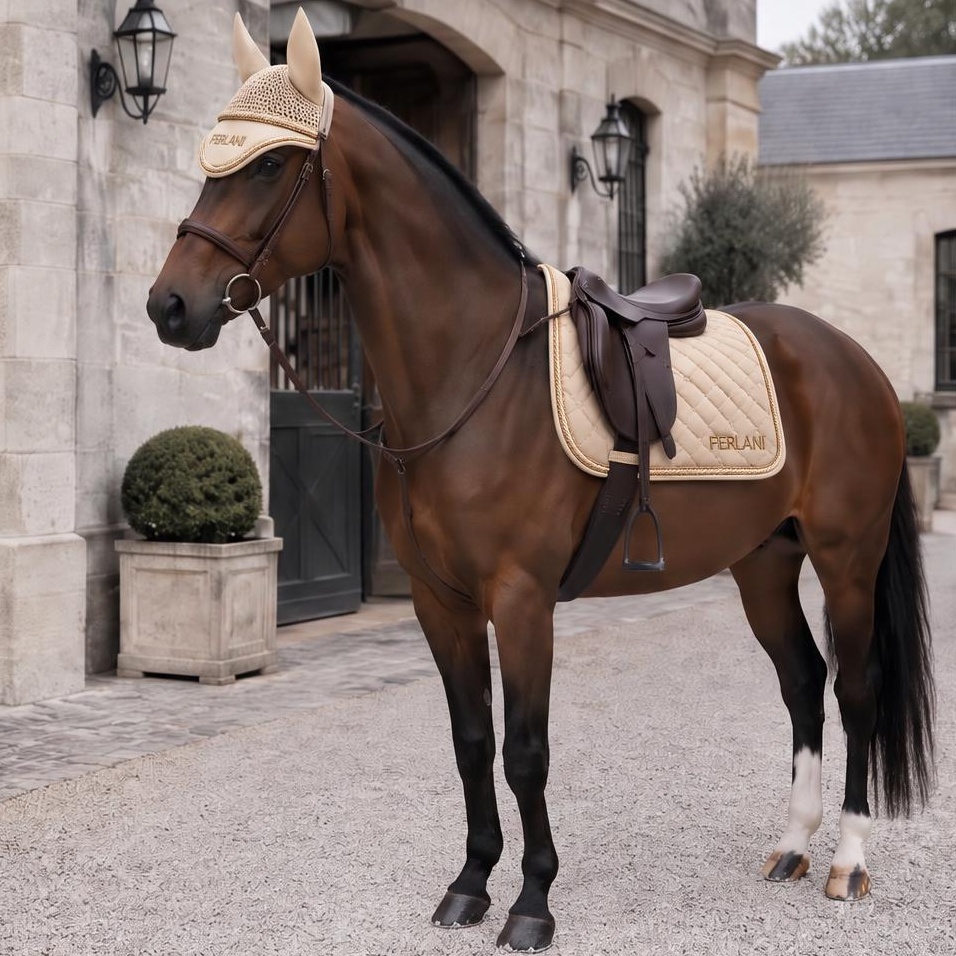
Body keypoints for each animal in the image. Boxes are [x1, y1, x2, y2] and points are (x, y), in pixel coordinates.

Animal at [146, 10, 935, 952]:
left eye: (269, 165)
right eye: (212, 161)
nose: (169, 306)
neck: (474, 372)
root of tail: (853, 359)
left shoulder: (521, 599)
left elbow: (526, 750)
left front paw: (532, 902)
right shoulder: (440, 600)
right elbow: (469, 739)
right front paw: (469, 884)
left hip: (846, 558)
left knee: (855, 689)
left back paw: (847, 861)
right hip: (763, 564)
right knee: (804, 684)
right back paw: (792, 846)